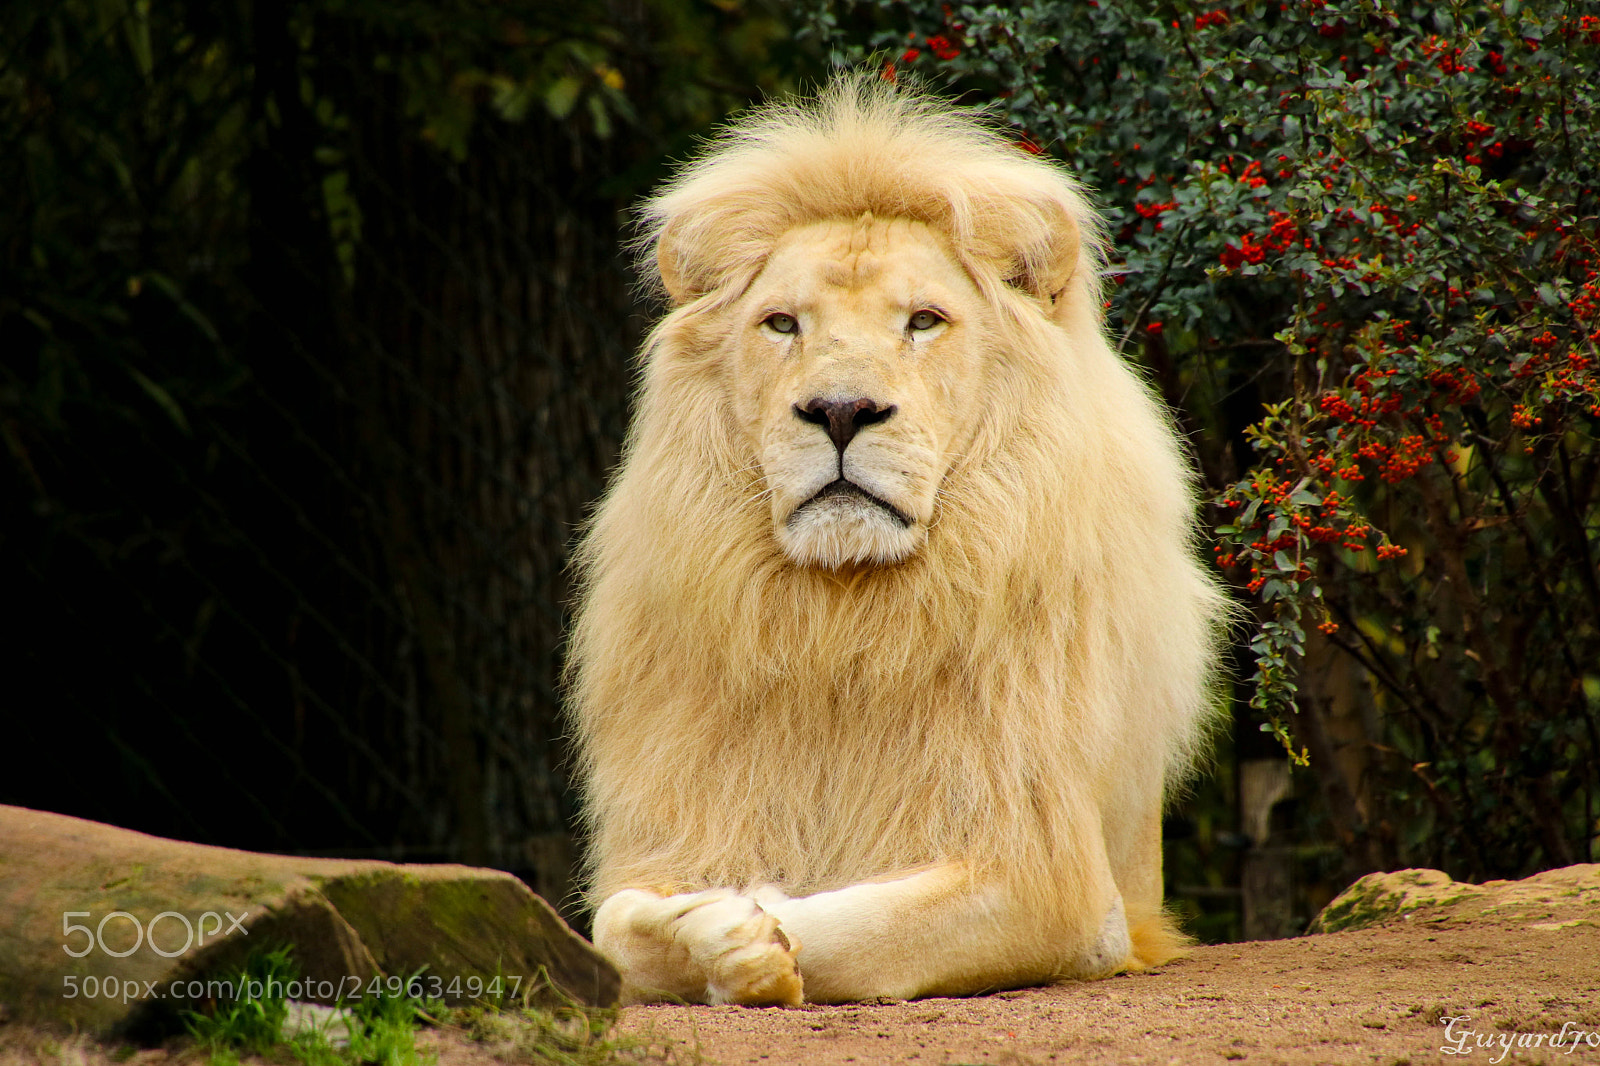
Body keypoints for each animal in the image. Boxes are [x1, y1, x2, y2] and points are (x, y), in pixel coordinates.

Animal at [566, 76, 1226, 1006]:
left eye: (924, 321)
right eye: (781, 324)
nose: (841, 410)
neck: (845, 623)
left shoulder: (1058, 885)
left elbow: (855, 931)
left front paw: (748, 930)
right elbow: (614, 930)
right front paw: (715, 923)